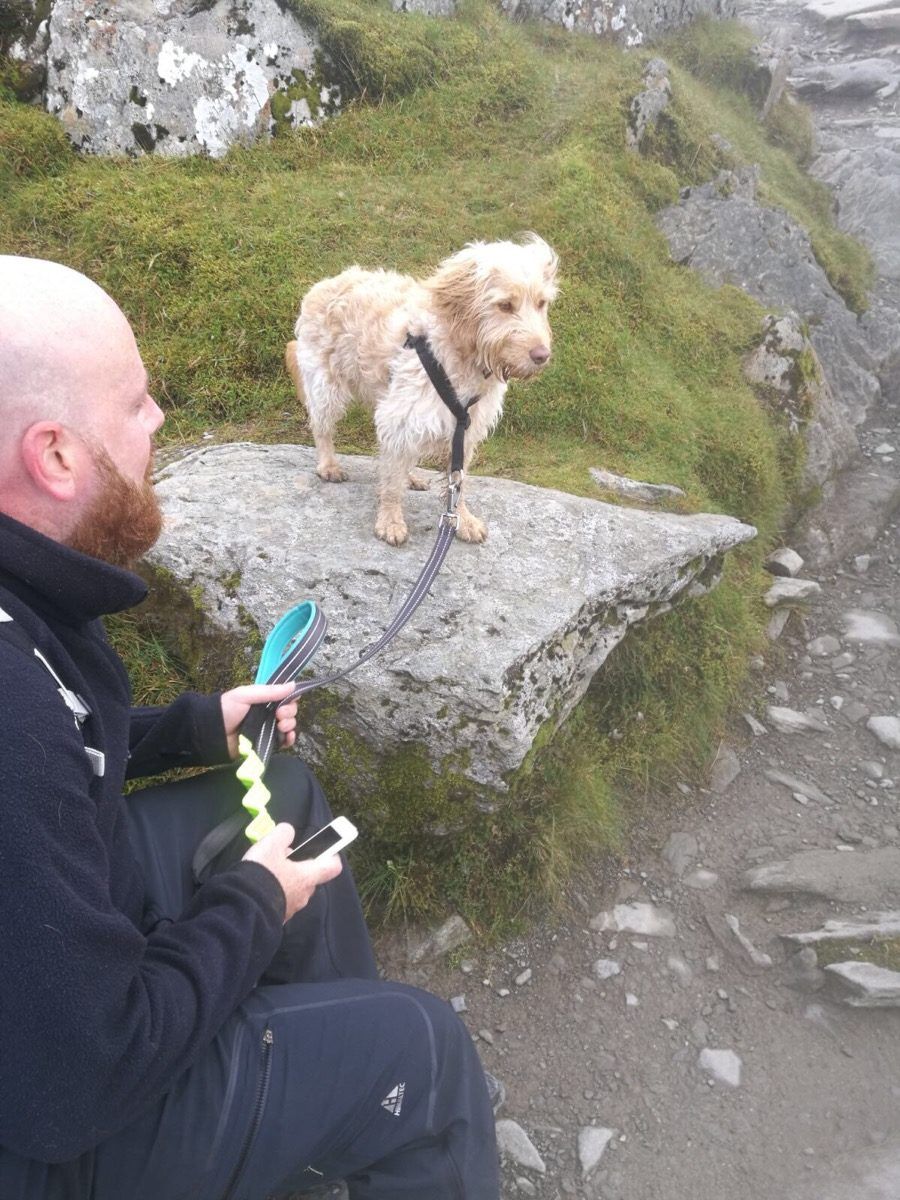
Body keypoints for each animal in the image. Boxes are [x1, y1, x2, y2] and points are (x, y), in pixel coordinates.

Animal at [286, 230, 556, 549]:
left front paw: (463, 519)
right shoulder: (399, 415)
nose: (542, 355)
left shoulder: (465, 429)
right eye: (505, 305)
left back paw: (412, 476)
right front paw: (390, 521)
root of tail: (325, 283)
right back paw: (328, 465)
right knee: (322, 427)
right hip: (327, 386)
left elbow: (458, 483)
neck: (458, 354)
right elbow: (391, 482)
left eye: (541, 303)